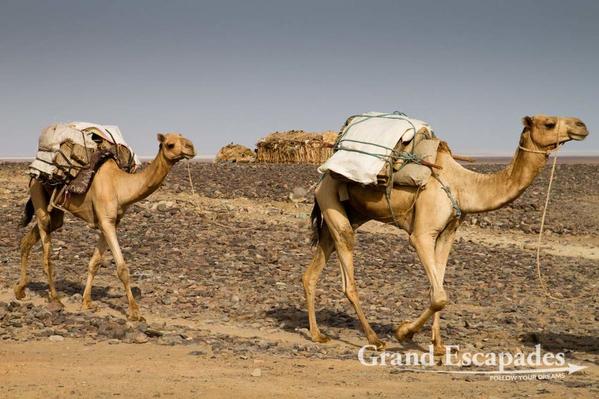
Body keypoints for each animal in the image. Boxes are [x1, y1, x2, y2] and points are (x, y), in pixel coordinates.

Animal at [15, 134, 196, 322]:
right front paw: (135, 312)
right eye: (170, 144)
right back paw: (55, 298)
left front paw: (86, 302)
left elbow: (94, 263)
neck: (120, 186)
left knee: (29, 239)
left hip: (56, 210)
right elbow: (122, 268)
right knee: (46, 252)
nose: (191, 148)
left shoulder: (108, 222)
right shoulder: (107, 222)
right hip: (37, 190)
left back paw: (20, 290)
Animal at [304, 115, 592, 354]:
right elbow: (440, 295)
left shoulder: (448, 233)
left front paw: (439, 345)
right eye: (549, 123)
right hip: (333, 203)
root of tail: (323, 176)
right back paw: (374, 339)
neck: (463, 186)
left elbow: (438, 287)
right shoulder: (422, 234)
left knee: (311, 273)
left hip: (346, 215)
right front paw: (403, 332)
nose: (582, 125)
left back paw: (318, 335)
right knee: (348, 281)